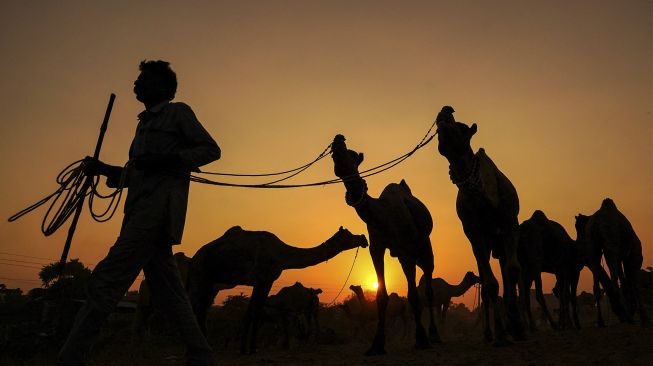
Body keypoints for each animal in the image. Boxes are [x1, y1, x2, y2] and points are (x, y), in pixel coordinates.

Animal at [187, 224, 366, 354]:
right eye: (348, 235)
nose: (363, 238)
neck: (281, 254)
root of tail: (194, 258)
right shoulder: (261, 278)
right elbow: (252, 312)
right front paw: (244, 349)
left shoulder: (267, 281)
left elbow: (256, 311)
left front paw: (251, 348)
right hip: (200, 276)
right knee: (197, 307)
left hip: (211, 283)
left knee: (202, 309)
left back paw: (206, 345)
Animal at [332, 134, 438, 354]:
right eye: (335, 155)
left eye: (352, 155)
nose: (338, 139)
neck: (383, 215)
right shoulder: (376, 248)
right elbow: (381, 295)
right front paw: (377, 344)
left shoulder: (406, 252)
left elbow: (413, 295)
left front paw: (421, 339)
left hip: (424, 247)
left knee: (429, 286)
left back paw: (434, 334)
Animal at [432, 106, 524, 346]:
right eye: (438, 129)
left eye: (462, 127)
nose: (445, 111)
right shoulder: (475, 234)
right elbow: (490, 284)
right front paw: (500, 334)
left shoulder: (510, 224)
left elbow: (513, 271)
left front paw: (517, 327)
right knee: (485, 284)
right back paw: (489, 334)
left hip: (499, 244)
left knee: (506, 275)